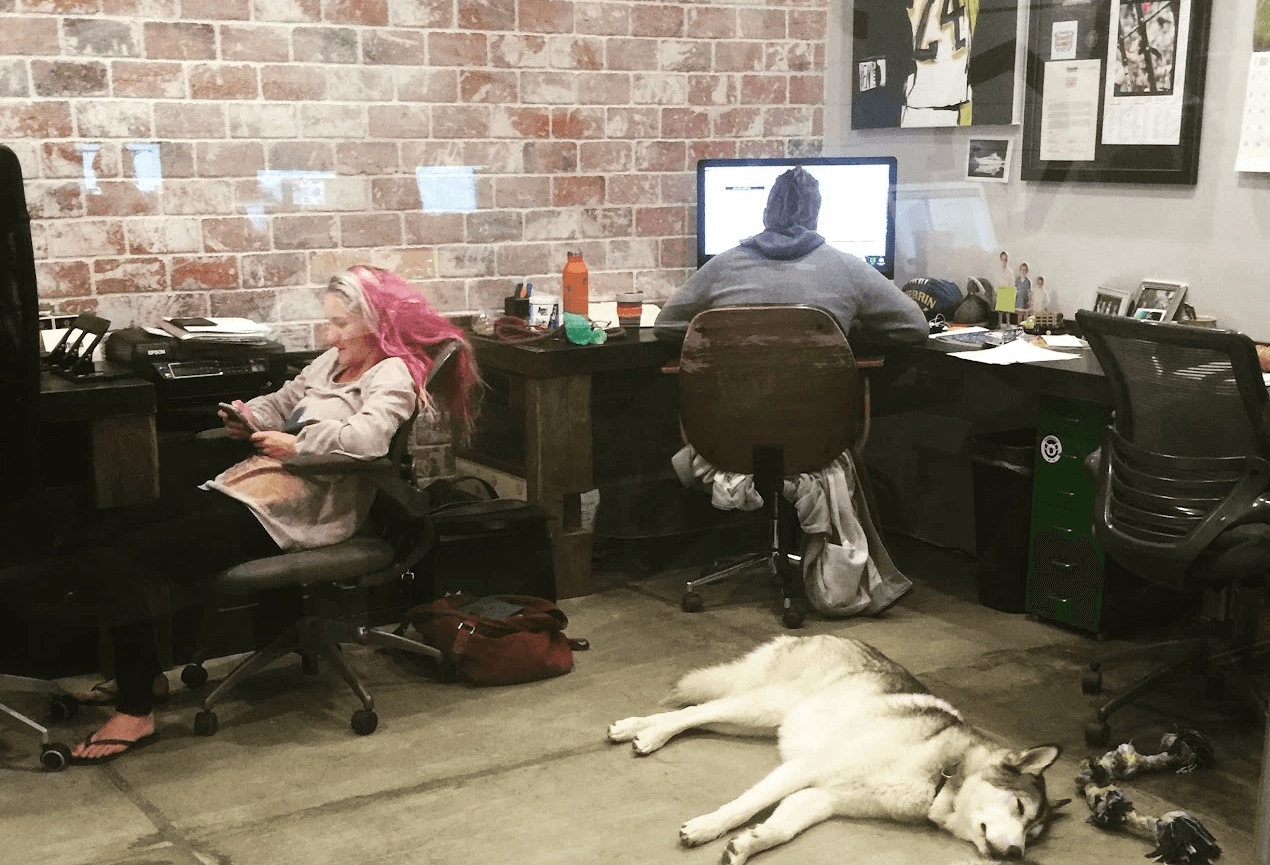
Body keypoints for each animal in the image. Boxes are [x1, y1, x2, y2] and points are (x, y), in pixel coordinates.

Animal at [608, 635, 1065, 863]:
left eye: (1033, 834)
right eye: (1020, 808)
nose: (1016, 854)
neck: (941, 775)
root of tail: (820, 632)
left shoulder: (822, 797)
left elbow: (782, 827)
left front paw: (748, 844)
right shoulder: (806, 768)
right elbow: (743, 806)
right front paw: (707, 827)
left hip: (758, 720)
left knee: (697, 713)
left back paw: (635, 728)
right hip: (764, 705)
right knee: (696, 710)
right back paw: (650, 735)